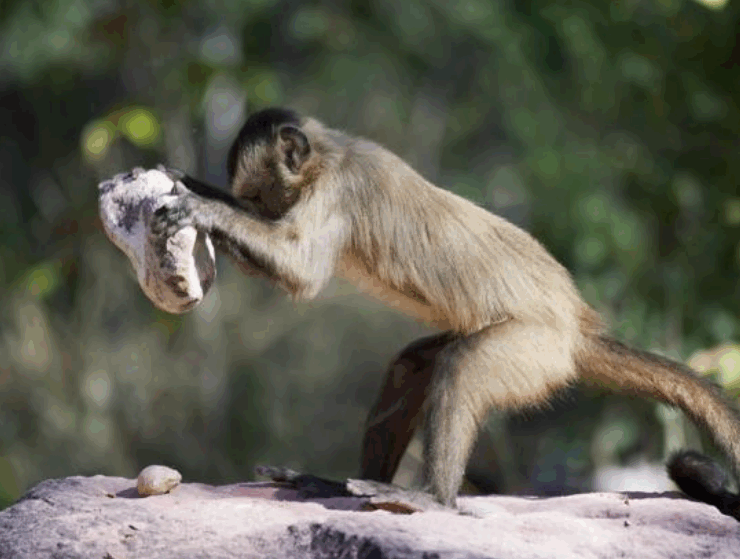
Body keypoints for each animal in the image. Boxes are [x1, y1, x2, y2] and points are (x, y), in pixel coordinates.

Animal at [150, 106, 740, 518]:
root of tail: (577, 326)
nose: (256, 208)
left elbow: (302, 273)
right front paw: (183, 182)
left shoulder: (339, 188)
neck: (331, 154)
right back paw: (337, 485)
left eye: (259, 197)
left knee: (465, 366)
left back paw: (435, 499)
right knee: (414, 364)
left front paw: (204, 207)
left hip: (535, 347)